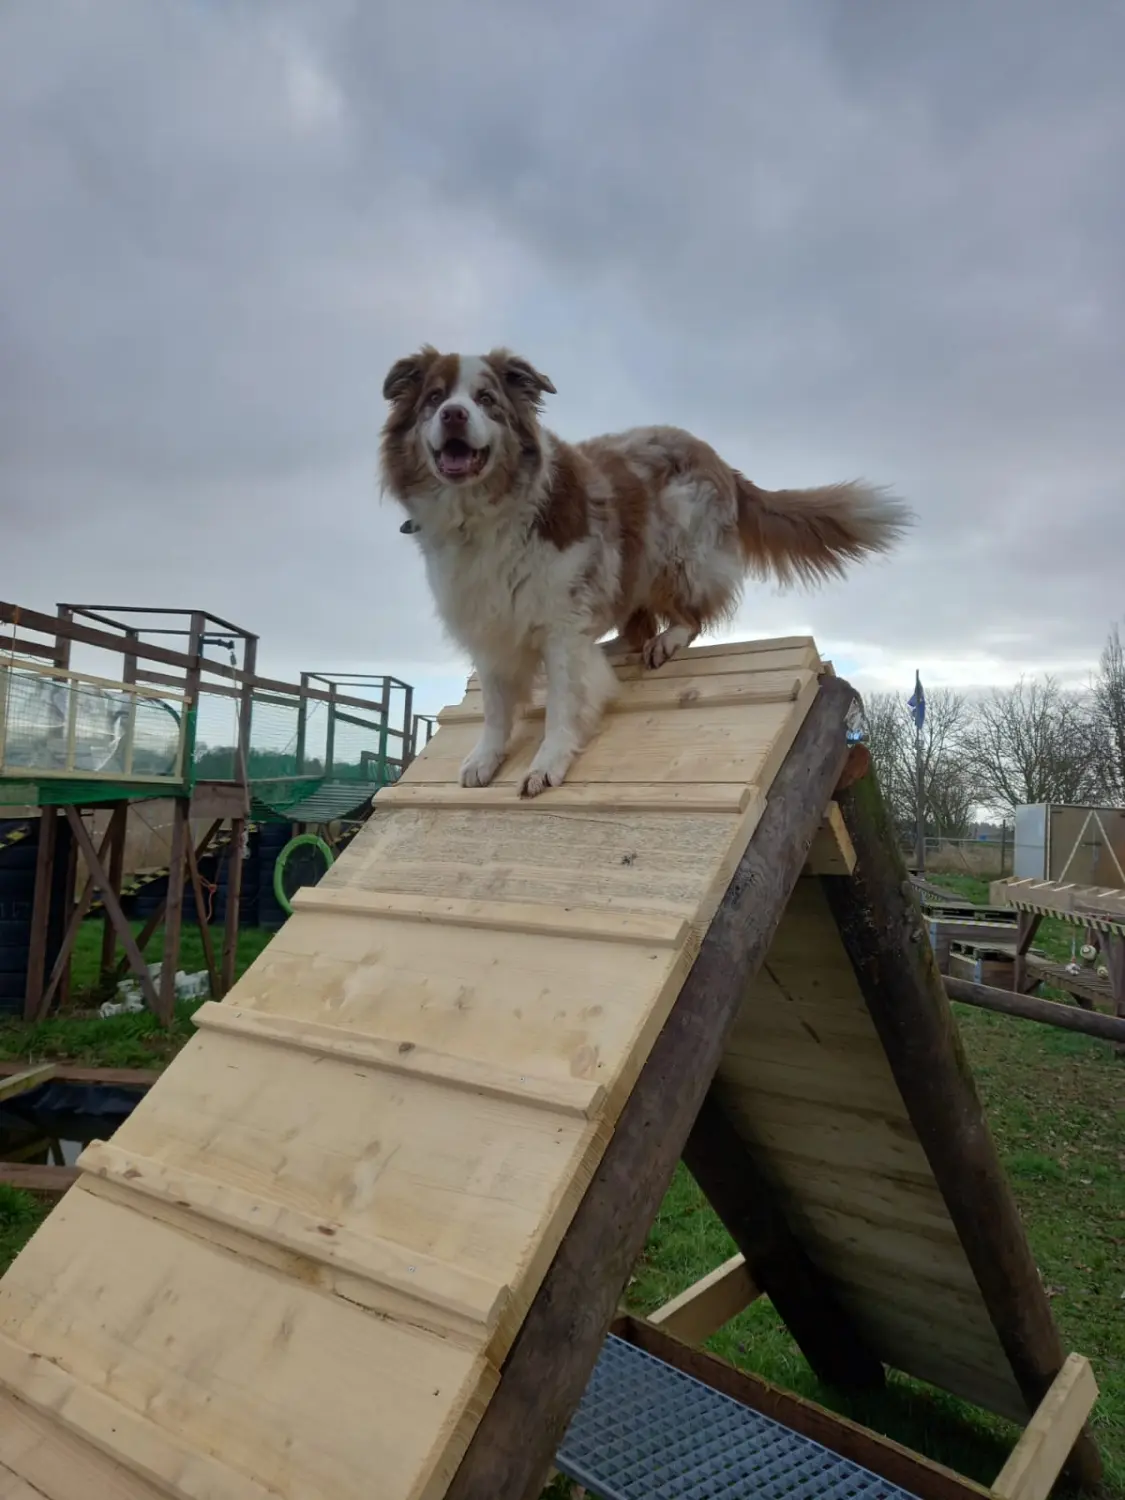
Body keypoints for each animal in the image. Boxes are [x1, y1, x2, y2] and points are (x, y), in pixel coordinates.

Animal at [384, 345, 912, 798]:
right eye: (434, 399)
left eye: (486, 400)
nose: (454, 414)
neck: (482, 513)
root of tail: (718, 459)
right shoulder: (487, 624)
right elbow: (495, 708)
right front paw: (485, 759)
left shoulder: (560, 620)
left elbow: (562, 703)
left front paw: (546, 764)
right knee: (634, 625)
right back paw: (615, 645)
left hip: (675, 541)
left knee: (690, 616)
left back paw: (667, 640)